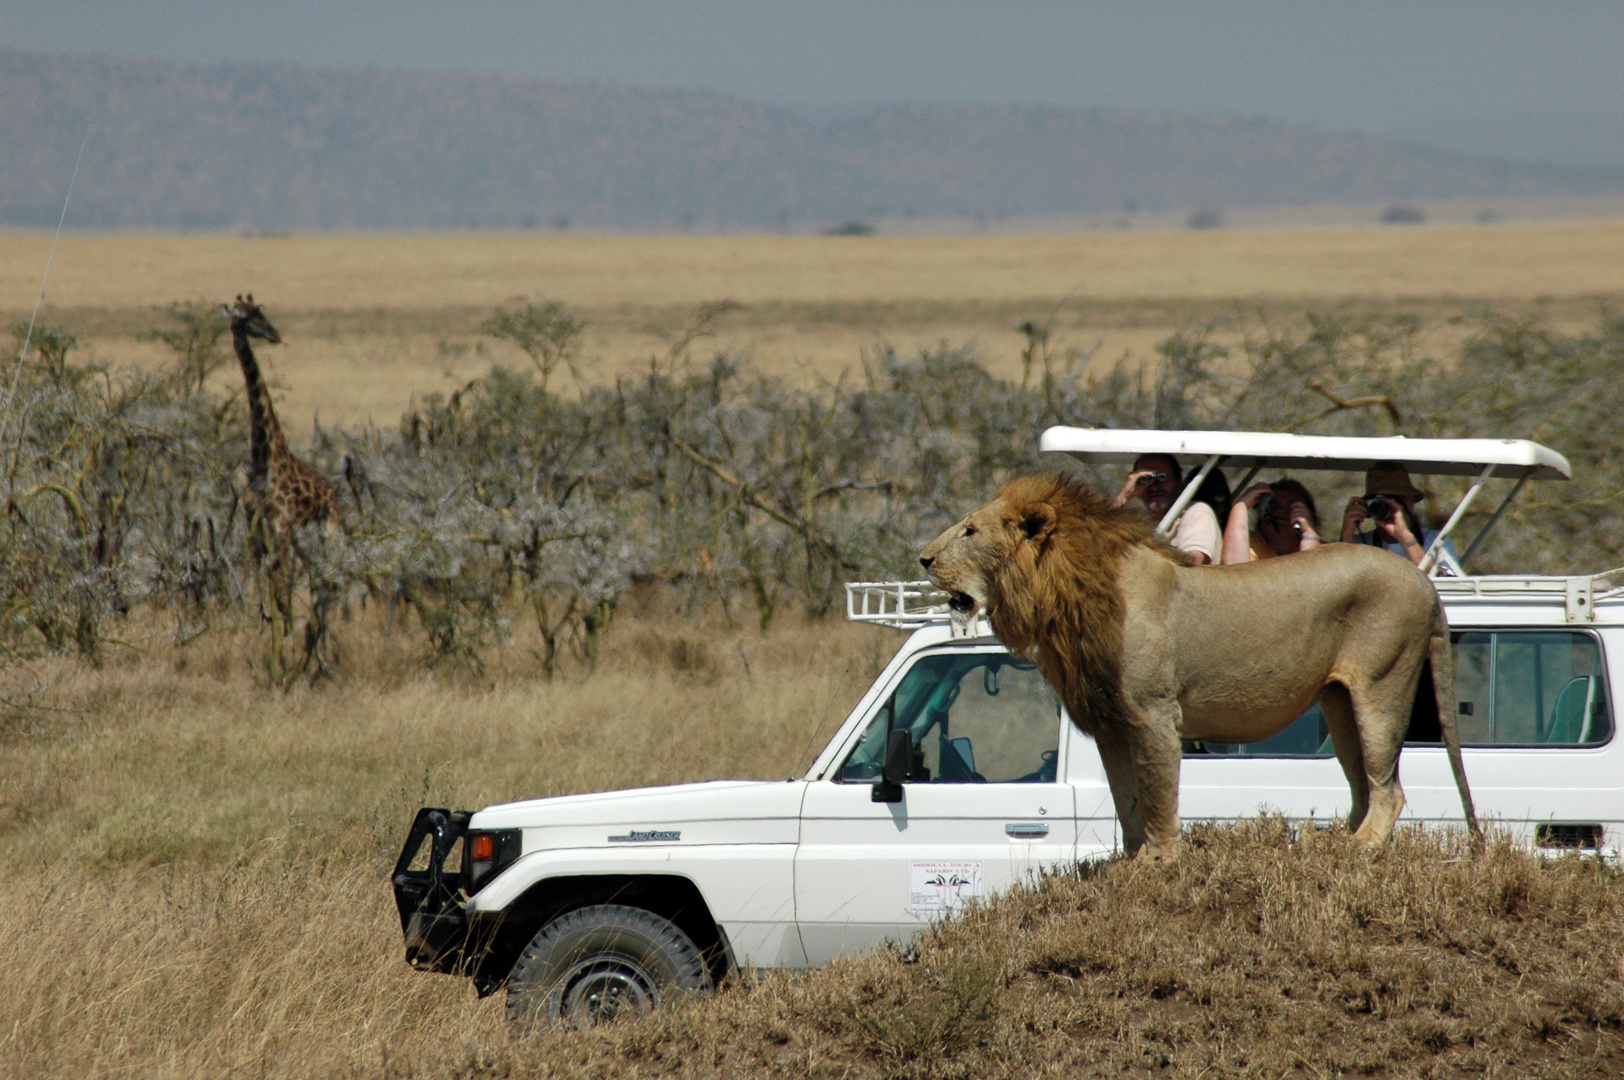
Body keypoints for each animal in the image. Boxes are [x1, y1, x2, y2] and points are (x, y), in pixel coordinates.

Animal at [922, 470, 1481, 857]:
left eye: (970, 531)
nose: (923, 558)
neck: (1067, 600)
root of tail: (1425, 585)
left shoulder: (1154, 715)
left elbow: (1156, 794)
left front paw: (1160, 862)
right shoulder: (1111, 725)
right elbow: (1126, 800)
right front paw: (1130, 862)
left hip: (1382, 685)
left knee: (1390, 789)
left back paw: (1358, 849)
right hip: (1339, 703)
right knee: (1363, 782)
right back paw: (1333, 844)